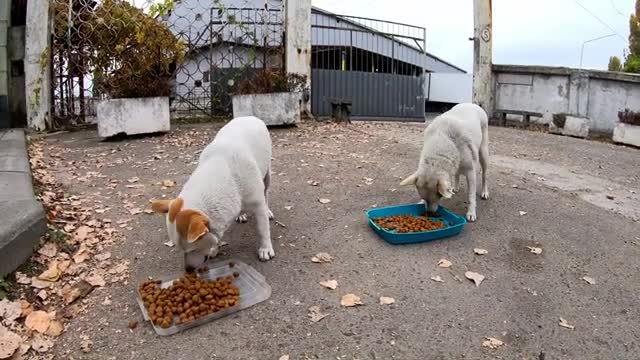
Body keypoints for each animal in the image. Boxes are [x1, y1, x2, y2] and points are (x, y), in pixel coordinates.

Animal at [151, 116, 274, 272]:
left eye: (192, 250)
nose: (188, 270)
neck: (225, 170)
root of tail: (247, 116)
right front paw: (214, 248)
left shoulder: (257, 204)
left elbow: (263, 229)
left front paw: (265, 248)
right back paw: (241, 215)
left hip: (267, 175)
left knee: (266, 193)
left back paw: (268, 210)